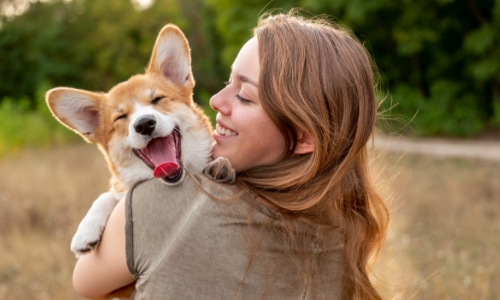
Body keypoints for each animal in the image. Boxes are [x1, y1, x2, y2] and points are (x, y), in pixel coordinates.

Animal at [45, 24, 232, 262]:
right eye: (121, 117)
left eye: (157, 99)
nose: (144, 124)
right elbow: (107, 195)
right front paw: (85, 230)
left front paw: (221, 167)